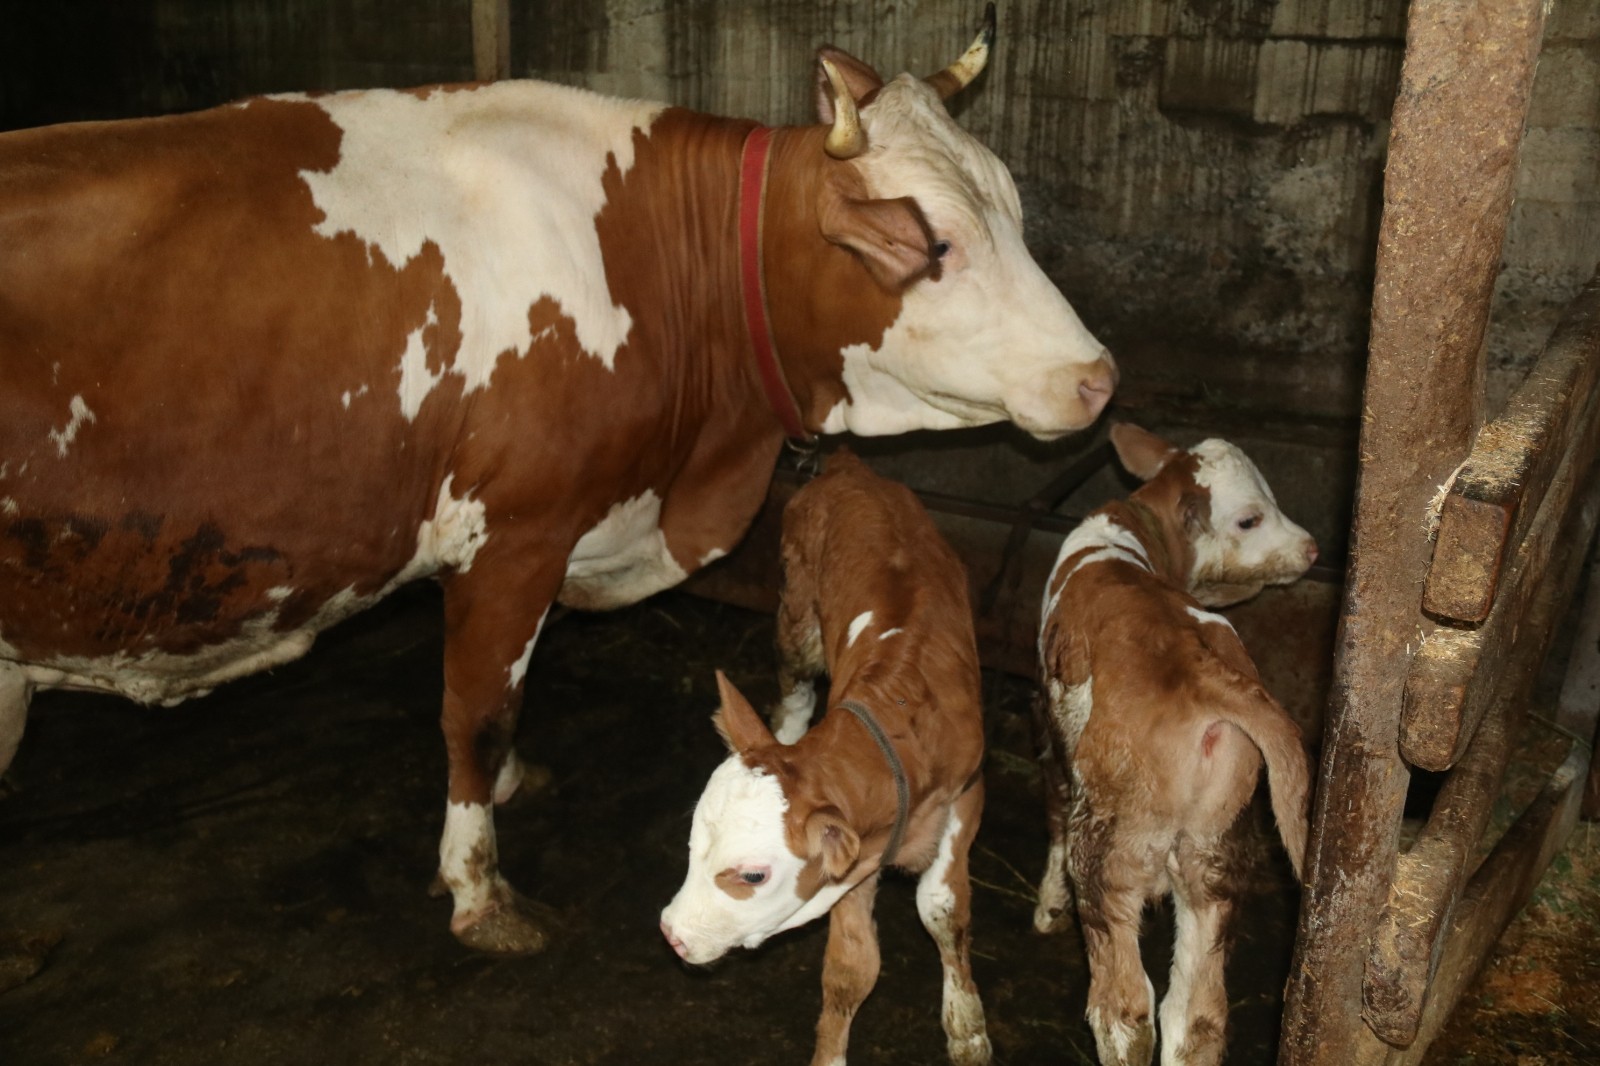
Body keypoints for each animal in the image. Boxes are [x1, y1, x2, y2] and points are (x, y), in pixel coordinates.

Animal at [659, 451, 985, 1062]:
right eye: (691, 844)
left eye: (754, 875)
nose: (672, 934)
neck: (898, 711)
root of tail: (848, 465)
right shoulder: (858, 860)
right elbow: (852, 968)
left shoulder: (969, 791)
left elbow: (942, 908)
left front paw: (967, 1028)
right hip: (797, 616)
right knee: (794, 690)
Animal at [1030, 422, 1318, 1062]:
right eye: (1250, 518)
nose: (1312, 548)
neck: (1129, 533)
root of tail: (1205, 673)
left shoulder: (1054, 738)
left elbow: (1054, 812)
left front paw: (1048, 905)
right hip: (1215, 851)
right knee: (1196, 1016)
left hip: (1109, 850)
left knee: (1125, 1010)